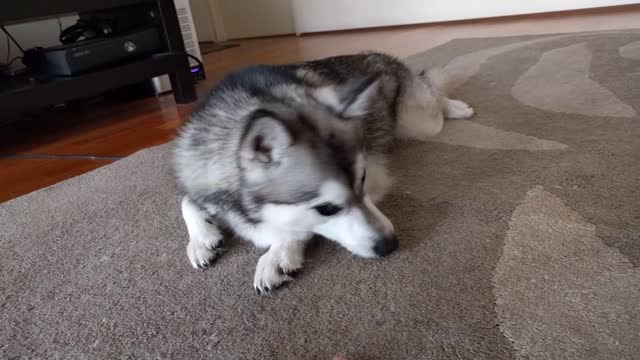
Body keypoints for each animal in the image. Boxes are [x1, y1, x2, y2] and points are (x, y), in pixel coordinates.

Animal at [172, 53, 472, 296]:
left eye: (363, 180)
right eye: (327, 208)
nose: (391, 244)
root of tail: (379, 56)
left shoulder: (375, 174)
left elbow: (294, 229)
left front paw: (278, 255)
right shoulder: (199, 176)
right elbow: (186, 201)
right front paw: (202, 239)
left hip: (420, 121)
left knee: (432, 92)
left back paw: (456, 106)